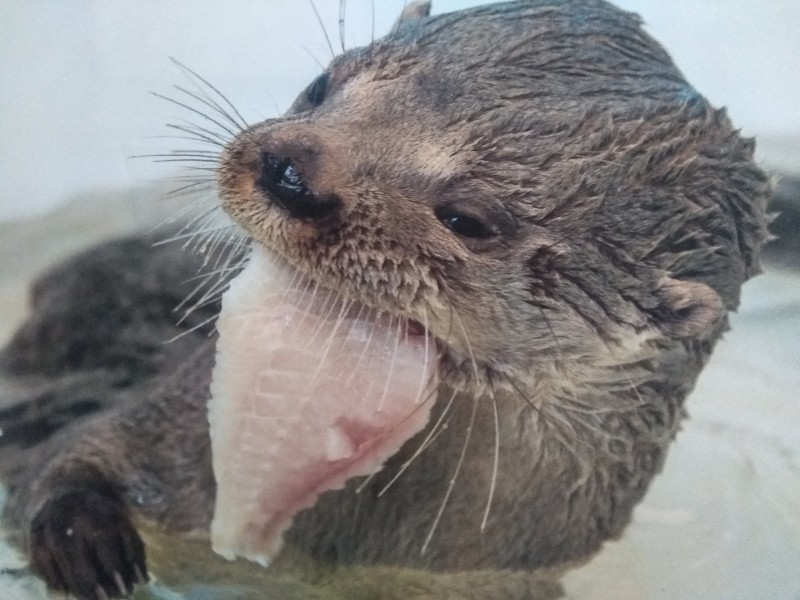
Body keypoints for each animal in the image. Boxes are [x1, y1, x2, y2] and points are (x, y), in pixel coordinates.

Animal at [0, 1, 768, 600]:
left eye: (468, 218)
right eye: (321, 84)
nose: (289, 171)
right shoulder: (170, 436)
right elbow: (70, 454)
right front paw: (86, 542)